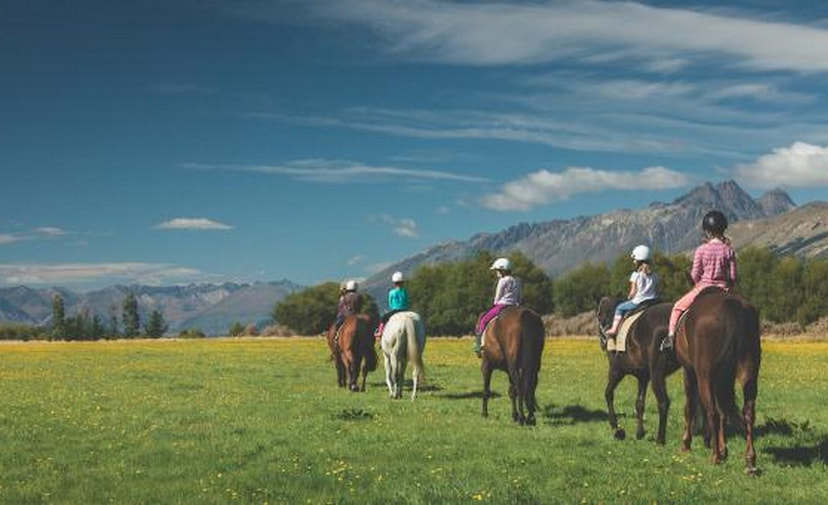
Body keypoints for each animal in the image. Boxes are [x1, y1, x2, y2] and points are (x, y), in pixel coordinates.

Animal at [596, 297, 680, 443]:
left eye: (599, 317)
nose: (602, 343)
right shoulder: (643, 377)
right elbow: (639, 403)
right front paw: (639, 433)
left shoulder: (616, 371)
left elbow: (608, 394)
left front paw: (616, 428)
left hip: (656, 373)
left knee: (663, 402)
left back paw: (660, 439)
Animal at [674, 289, 761, 473]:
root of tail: (731, 306)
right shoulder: (722, 379)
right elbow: (723, 413)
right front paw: (723, 450)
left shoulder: (689, 372)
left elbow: (690, 408)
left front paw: (686, 444)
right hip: (749, 373)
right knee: (748, 412)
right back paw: (750, 460)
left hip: (704, 376)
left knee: (712, 412)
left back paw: (714, 456)